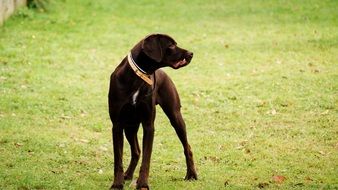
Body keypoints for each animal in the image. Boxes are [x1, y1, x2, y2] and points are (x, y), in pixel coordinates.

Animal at [108, 33, 198, 189]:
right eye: (171, 45)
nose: (191, 53)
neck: (137, 77)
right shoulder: (118, 125)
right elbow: (118, 159)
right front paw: (117, 184)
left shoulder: (148, 125)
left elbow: (146, 159)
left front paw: (143, 184)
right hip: (130, 126)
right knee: (136, 151)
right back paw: (128, 175)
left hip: (175, 117)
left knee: (187, 147)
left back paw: (191, 174)